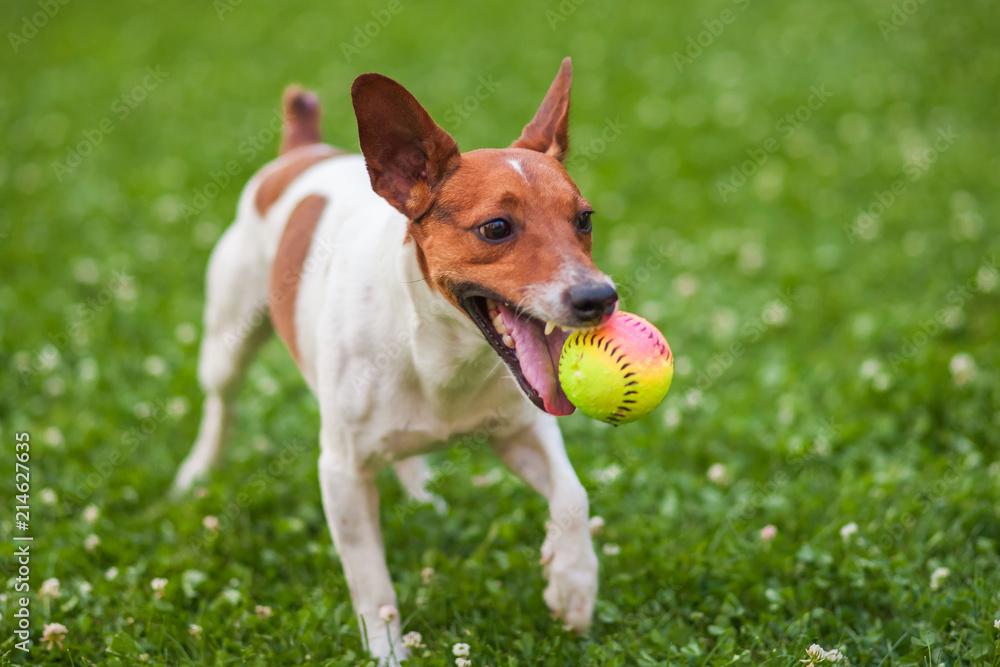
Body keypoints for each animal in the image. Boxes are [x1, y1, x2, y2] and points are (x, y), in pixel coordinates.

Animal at [176, 58, 620, 664]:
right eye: (496, 228)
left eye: (585, 219)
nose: (600, 298)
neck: (441, 356)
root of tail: (301, 149)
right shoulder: (341, 473)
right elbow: (373, 585)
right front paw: (387, 650)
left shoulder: (522, 429)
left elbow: (573, 495)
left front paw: (572, 583)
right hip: (228, 340)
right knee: (220, 404)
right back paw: (196, 473)